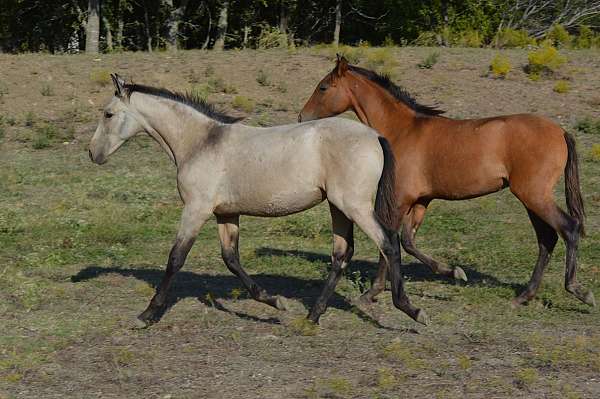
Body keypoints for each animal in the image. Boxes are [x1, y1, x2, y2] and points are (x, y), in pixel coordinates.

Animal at [89, 74, 428, 328]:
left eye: (108, 114)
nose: (93, 154)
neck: (200, 142)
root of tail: (375, 137)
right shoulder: (225, 214)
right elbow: (231, 259)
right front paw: (275, 302)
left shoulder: (196, 209)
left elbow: (175, 259)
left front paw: (146, 315)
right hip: (338, 207)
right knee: (342, 253)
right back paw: (311, 316)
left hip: (354, 206)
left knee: (388, 243)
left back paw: (411, 309)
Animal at [300, 55, 596, 310]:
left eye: (323, 87)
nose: (303, 117)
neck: (402, 131)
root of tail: (560, 131)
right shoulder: (421, 200)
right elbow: (408, 241)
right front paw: (453, 271)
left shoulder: (400, 199)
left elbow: (390, 241)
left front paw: (371, 293)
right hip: (531, 198)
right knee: (547, 239)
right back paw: (524, 295)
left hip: (533, 194)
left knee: (568, 228)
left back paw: (579, 291)